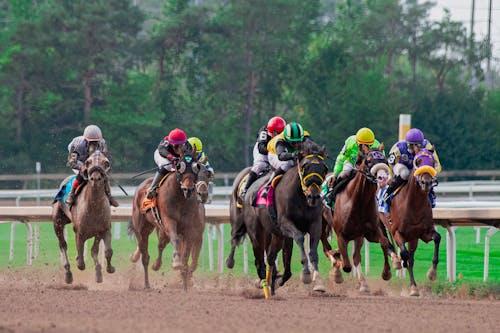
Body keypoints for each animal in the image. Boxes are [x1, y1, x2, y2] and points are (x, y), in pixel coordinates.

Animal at [52, 150, 115, 282]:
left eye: (106, 162)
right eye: (88, 162)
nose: (95, 178)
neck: (94, 207)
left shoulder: (104, 229)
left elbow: (106, 251)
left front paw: (108, 269)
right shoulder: (79, 233)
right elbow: (81, 262)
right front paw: (78, 261)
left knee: (93, 250)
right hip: (57, 221)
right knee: (63, 244)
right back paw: (68, 274)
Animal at [129, 154, 203, 288]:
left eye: (197, 167)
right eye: (179, 167)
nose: (188, 189)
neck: (180, 198)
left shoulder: (190, 229)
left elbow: (186, 254)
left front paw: (185, 283)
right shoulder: (169, 221)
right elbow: (176, 240)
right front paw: (176, 263)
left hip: (156, 228)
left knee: (160, 245)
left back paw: (156, 266)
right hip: (141, 229)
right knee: (145, 255)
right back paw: (147, 284)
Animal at [330, 149, 396, 292]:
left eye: (385, 160)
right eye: (368, 161)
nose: (382, 178)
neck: (358, 202)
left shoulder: (369, 232)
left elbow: (384, 242)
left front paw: (386, 273)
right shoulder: (341, 235)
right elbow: (346, 264)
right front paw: (338, 272)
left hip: (360, 237)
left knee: (356, 256)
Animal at [378, 150, 442, 296]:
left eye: (432, 162)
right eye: (418, 161)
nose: (426, 182)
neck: (415, 205)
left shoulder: (423, 233)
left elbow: (437, 238)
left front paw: (432, 273)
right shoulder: (397, 232)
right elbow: (405, 255)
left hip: (413, 239)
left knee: (410, 257)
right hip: (380, 223)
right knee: (386, 242)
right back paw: (393, 264)